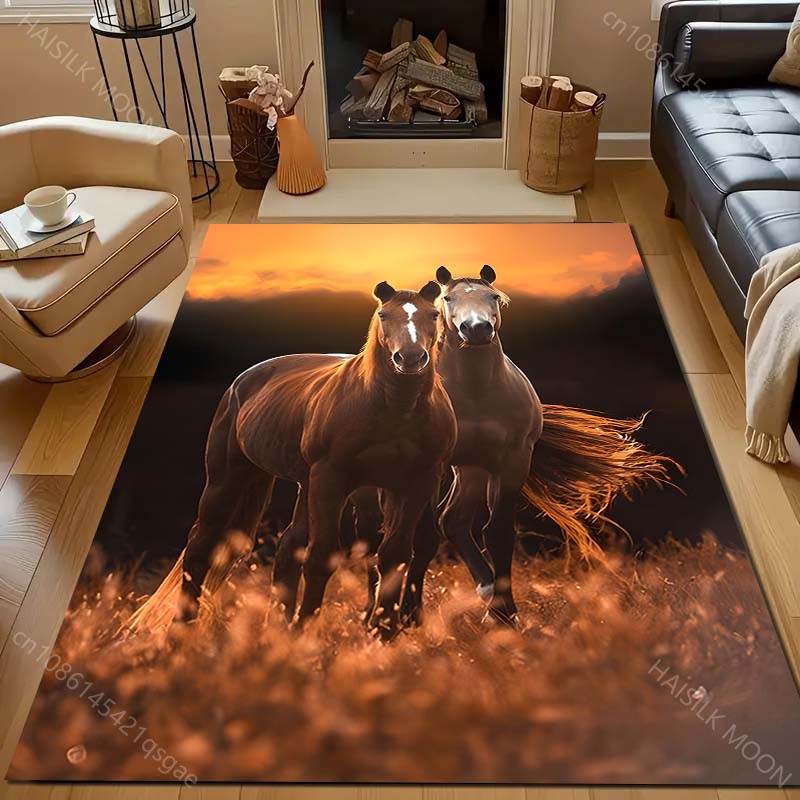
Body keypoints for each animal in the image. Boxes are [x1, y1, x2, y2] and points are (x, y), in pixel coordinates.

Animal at [175, 279, 457, 639]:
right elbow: (321, 556)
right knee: (200, 547)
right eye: (384, 314)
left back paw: (278, 627)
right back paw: (180, 632)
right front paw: (307, 631)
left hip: (306, 483)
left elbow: (394, 556)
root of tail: (242, 382)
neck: (396, 409)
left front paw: (384, 631)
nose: (409, 357)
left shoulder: (416, 483)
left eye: (433, 314)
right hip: (229, 479)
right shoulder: (332, 478)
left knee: (287, 548)